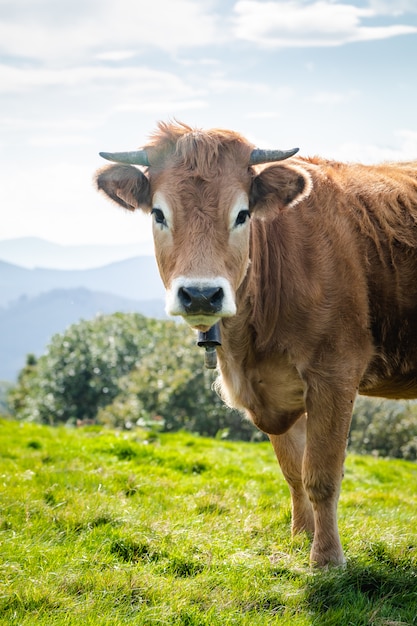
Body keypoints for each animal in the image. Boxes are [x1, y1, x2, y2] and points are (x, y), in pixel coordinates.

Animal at [96, 120, 416, 564]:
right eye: (159, 214)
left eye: (242, 214)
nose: (200, 294)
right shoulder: (278, 388)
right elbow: (293, 471)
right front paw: (300, 536)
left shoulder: (335, 372)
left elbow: (322, 475)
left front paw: (326, 558)